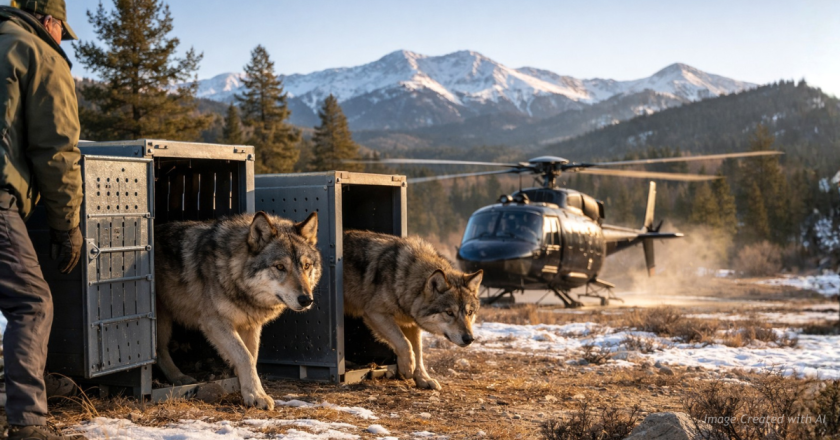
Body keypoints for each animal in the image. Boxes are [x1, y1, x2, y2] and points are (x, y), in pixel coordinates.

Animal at [154, 212, 321, 410]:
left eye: (306, 266)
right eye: (280, 267)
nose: (306, 300)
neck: (232, 270)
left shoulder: (251, 325)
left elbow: (252, 358)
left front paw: (248, 389)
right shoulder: (214, 323)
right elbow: (245, 357)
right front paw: (255, 395)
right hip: (161, 322)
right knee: (160, 350)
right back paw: (179, 377)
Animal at [343, 230, 483, 390]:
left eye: (469, 313)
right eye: (449, 313)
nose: (469, 338)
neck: (405, 278)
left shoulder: (411, 324)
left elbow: (418, 352)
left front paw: (423, 379)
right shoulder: (375, 313)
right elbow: (405, 343)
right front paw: (408, 367)